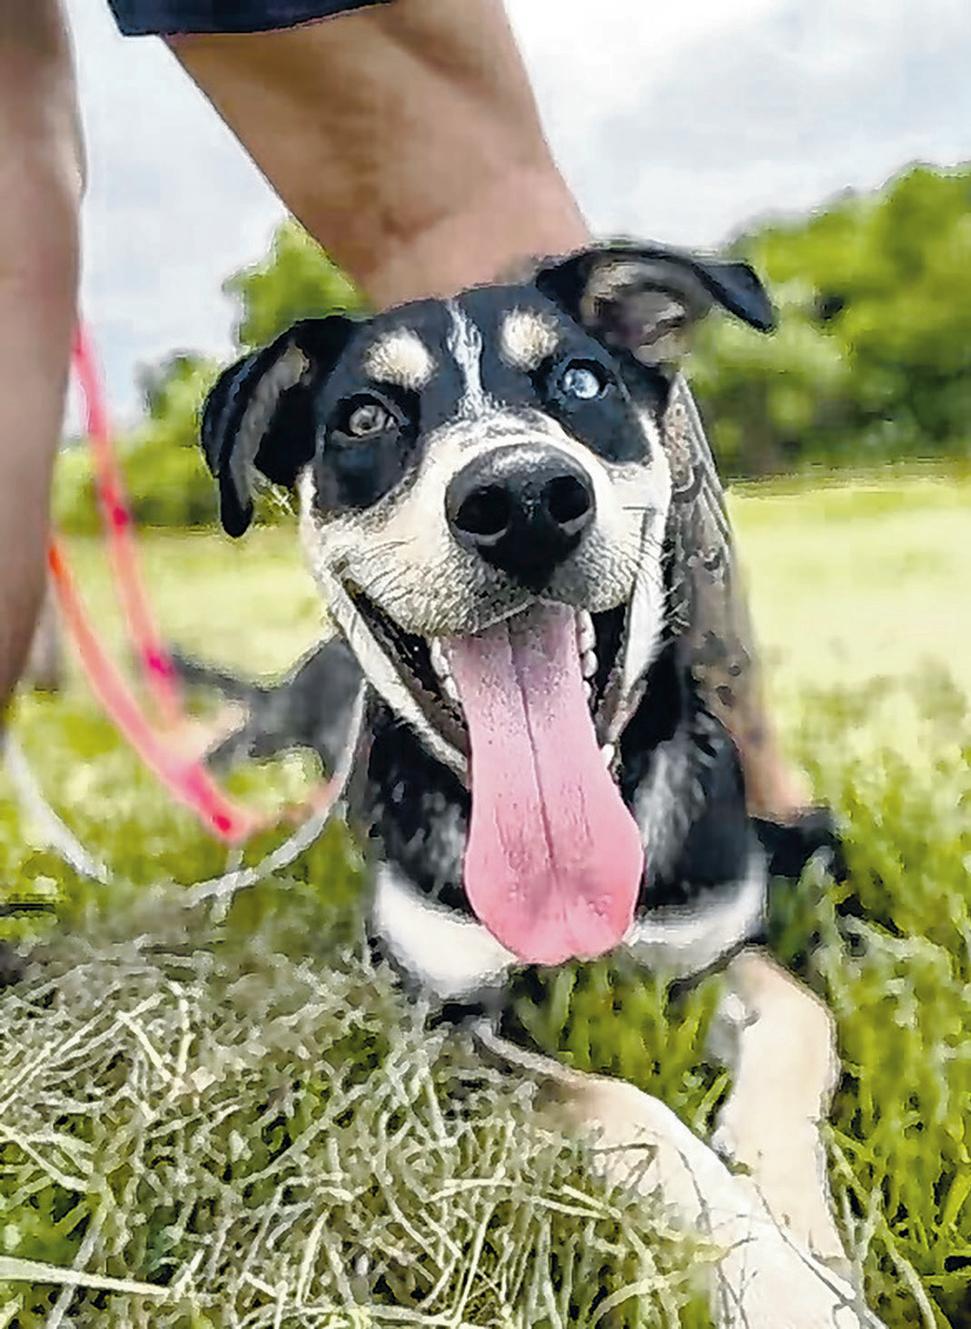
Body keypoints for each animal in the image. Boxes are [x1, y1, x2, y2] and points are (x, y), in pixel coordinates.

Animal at [195, 241, 883, 1328]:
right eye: (362, 418)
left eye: (580, 382)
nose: (520, 498)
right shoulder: (437, 1018)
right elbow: (624, 1106)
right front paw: (769, 1276)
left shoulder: (707, 948)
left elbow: (799, 1023)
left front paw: (796, 1229)